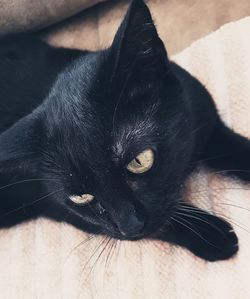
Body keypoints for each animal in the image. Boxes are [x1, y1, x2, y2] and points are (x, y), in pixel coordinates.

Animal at [0, 0, 247, 262]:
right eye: (80, 197)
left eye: (139, 161)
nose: (130, 226)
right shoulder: (60, 210)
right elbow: (162, 224)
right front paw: (210, 234)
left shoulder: (205, 116)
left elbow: (231, 145)